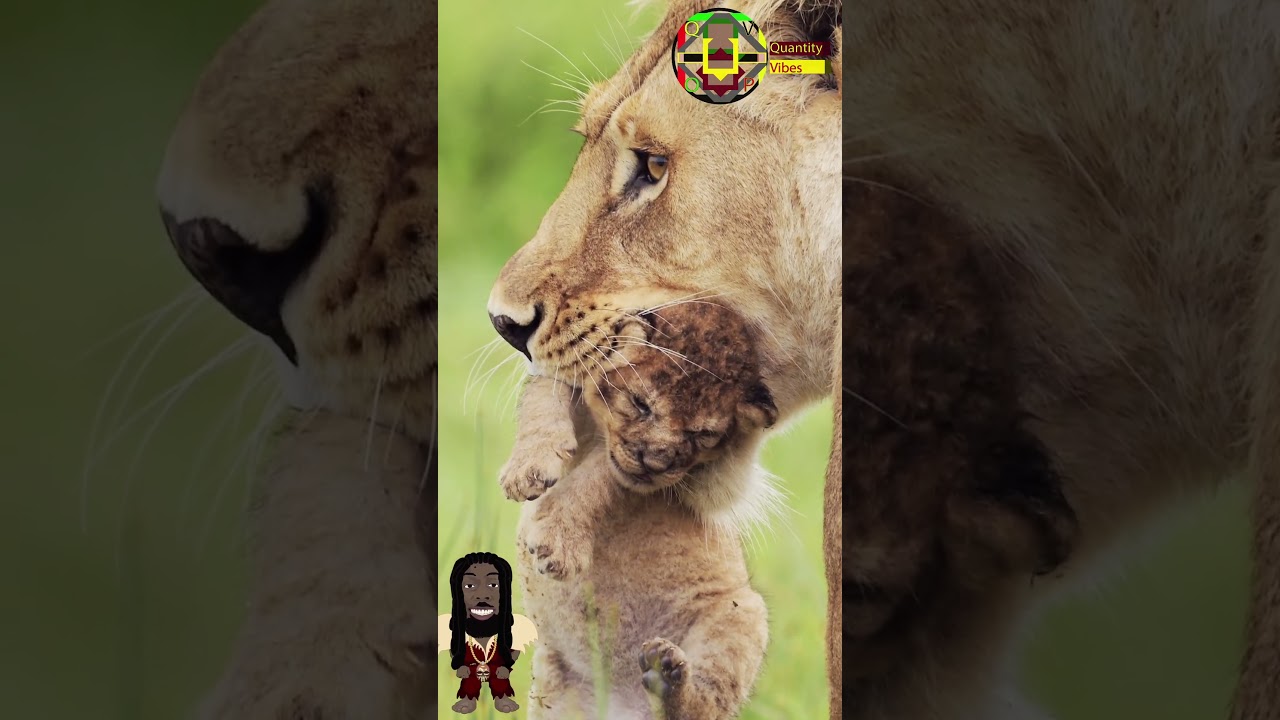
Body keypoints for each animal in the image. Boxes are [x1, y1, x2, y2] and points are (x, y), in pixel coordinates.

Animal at [498, 301, 778, 718]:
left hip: (742, 615)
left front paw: (557, 544)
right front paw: (527, 469)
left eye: (702, 434)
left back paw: (668, 680)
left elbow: (597, 476)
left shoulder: (643, 475)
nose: (656, 462)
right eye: (640, 403)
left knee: (702, 701)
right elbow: (542, 392)